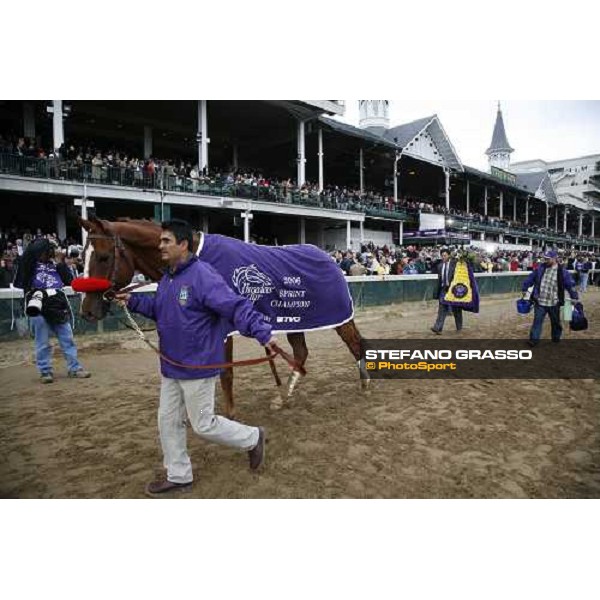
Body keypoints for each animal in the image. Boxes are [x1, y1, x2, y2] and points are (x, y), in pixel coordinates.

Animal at [78, 216, 370, 418]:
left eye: (103, 257)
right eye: (83, 256)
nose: (87, 311)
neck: (195, 258)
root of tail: (330, 258)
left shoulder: (224, 328)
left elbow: (226, 373)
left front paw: (230, 414)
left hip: (340, 317)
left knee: (355, 342)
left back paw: (365, 384)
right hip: (295, 320)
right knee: (300, 353)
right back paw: (283, 396)